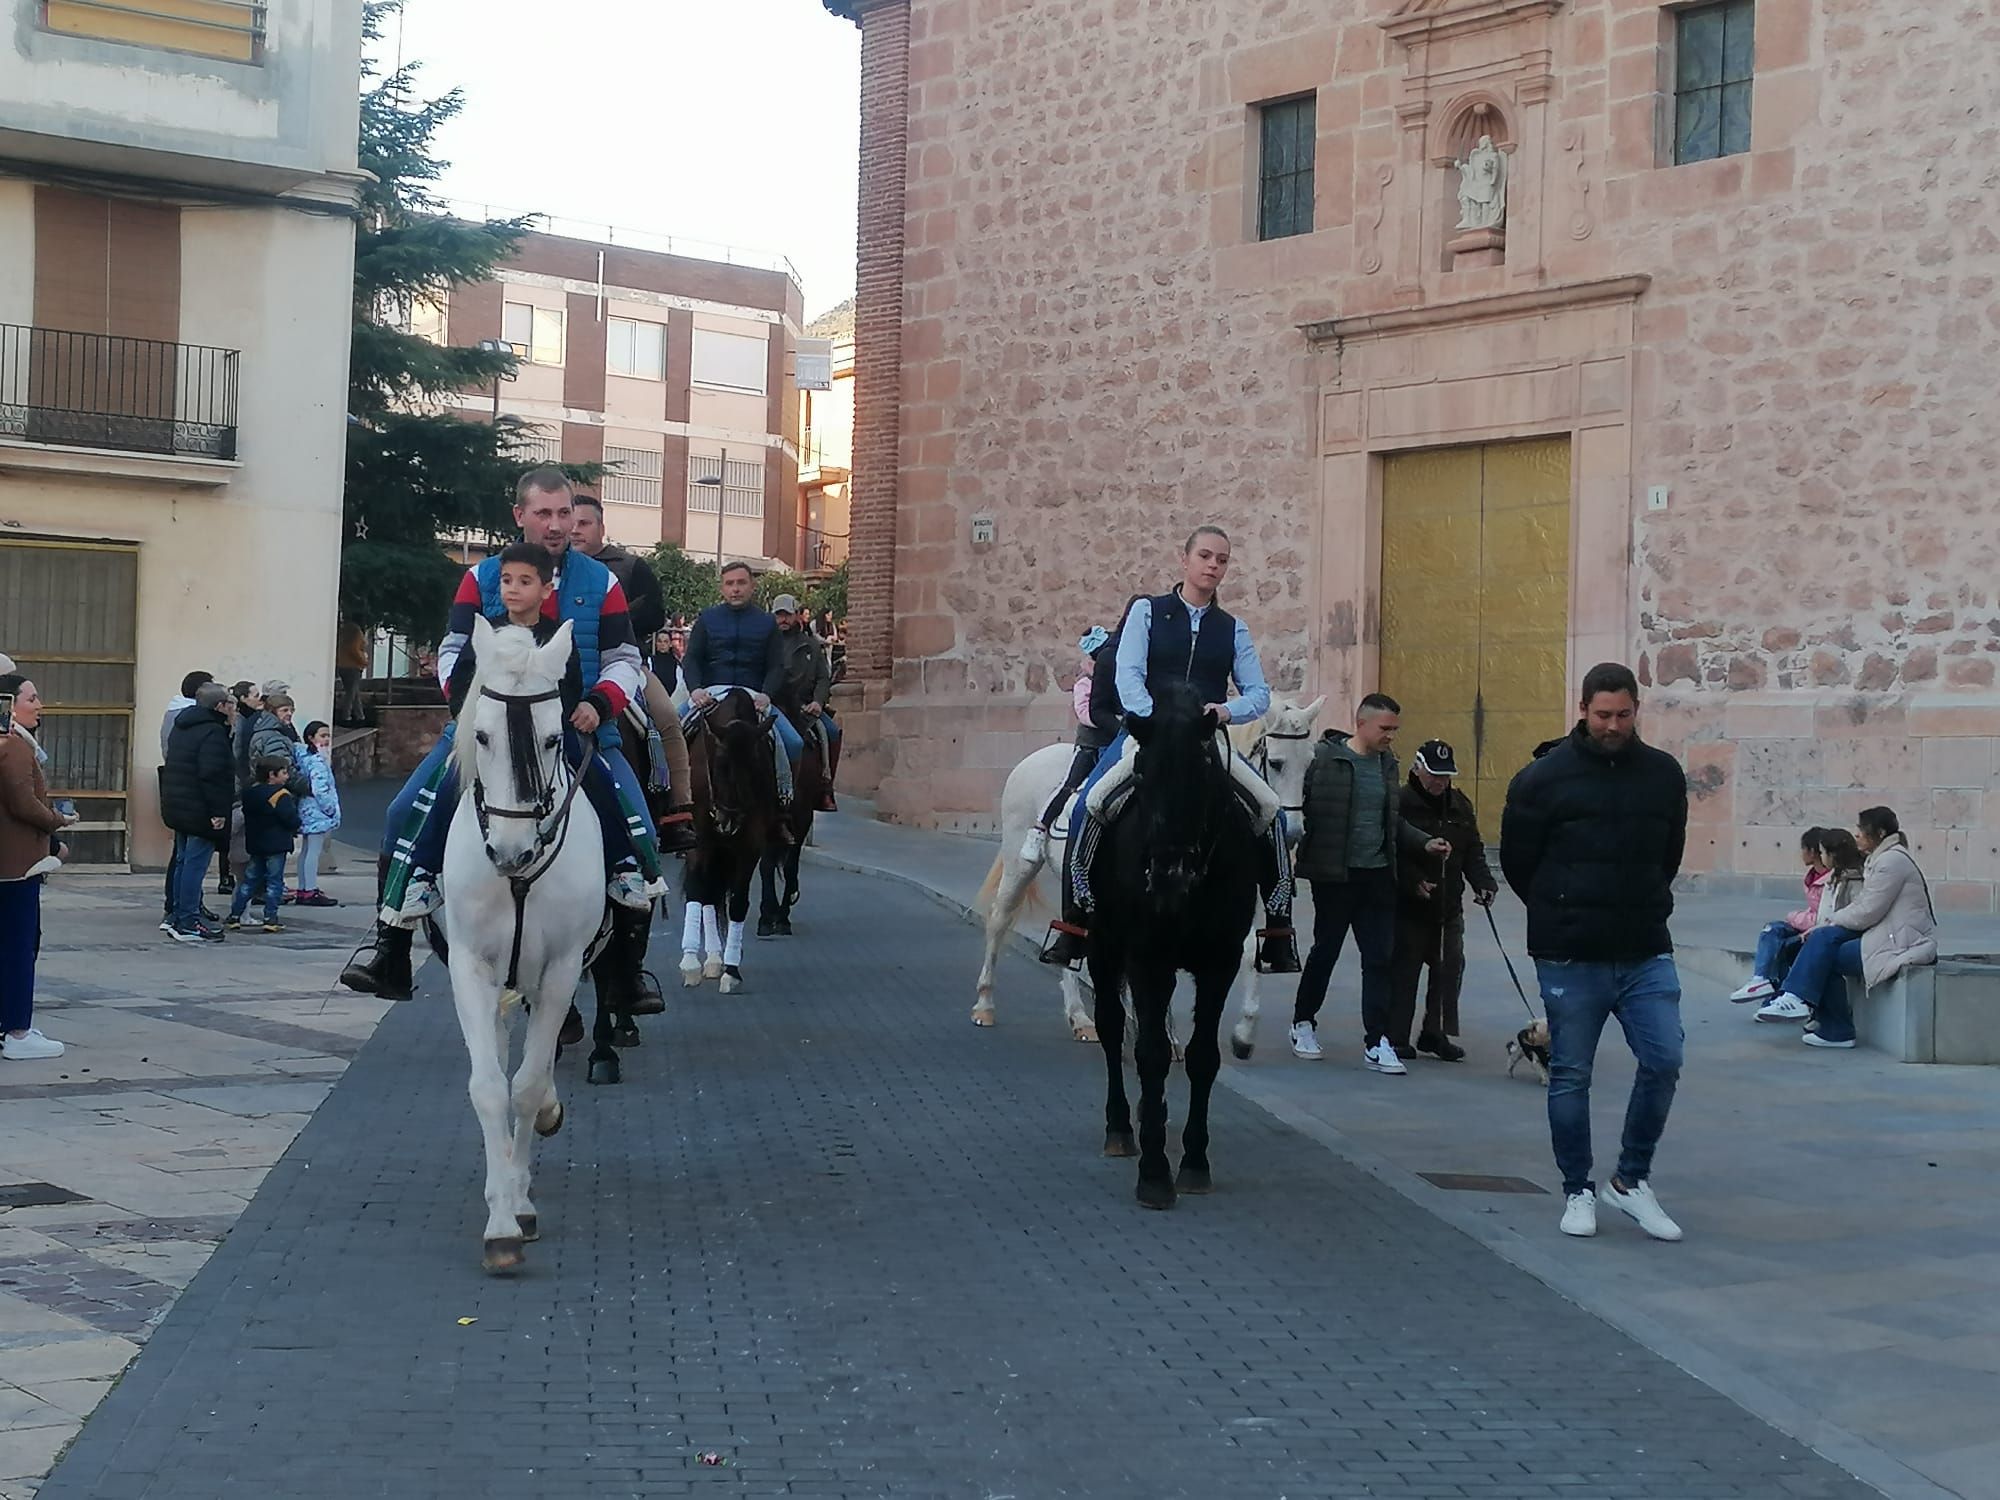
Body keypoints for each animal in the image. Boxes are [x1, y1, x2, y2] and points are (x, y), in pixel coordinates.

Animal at [972, 700, 1320, 1048]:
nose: (1294, 832)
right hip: (1020, 863)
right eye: (1275, 763)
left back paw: (1081, 1019)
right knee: (1000, 918)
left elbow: (1248, 952)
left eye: (1309, 764)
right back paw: (985, 1004)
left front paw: (1243, 1031)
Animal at [1088, 680, 1256, 1208]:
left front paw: (1195, 1161)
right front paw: (1155, 1172)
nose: (1167, 875)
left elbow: (1203, 1057)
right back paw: (1121, 1127)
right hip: (1102, 948)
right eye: (1141, 772)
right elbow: (1150, 1054)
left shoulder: (1220, 961)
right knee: (1111, 1027)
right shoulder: (1147, 958)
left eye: (1203, 770)